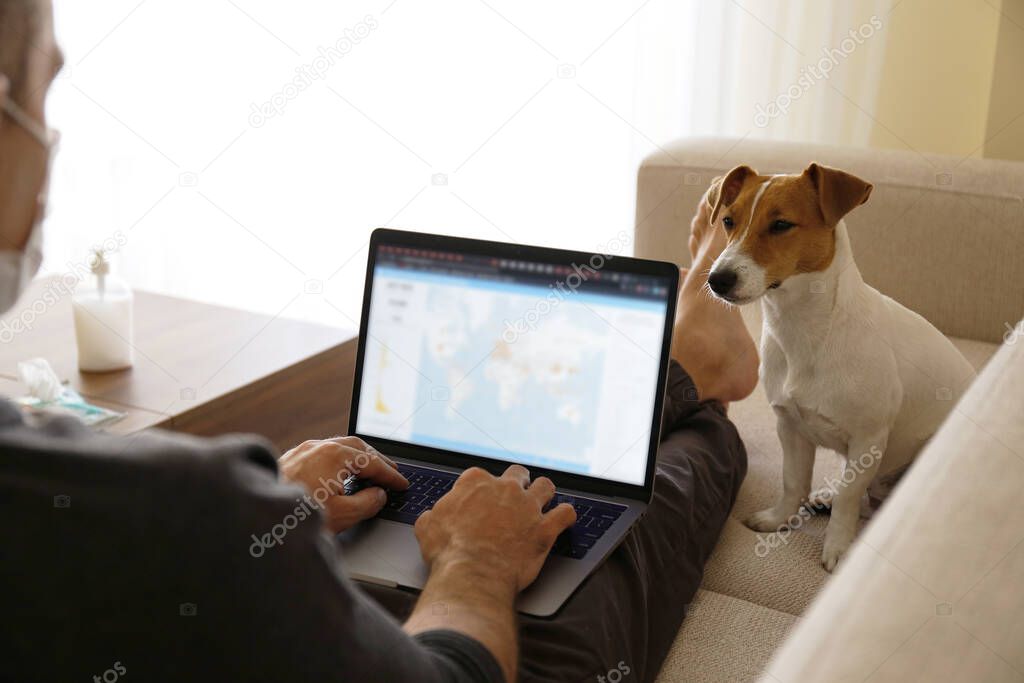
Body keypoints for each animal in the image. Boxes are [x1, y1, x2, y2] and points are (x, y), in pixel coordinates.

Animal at [704, 163, 974, 573]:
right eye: (728, 221)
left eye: (781, 224)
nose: (716, 280)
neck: (802, 329)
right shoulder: (789, 426)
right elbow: (793, 481)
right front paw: (779, 519)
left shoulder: (868, 439)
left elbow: (850, 497)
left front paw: (838, 547)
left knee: (873, 502)